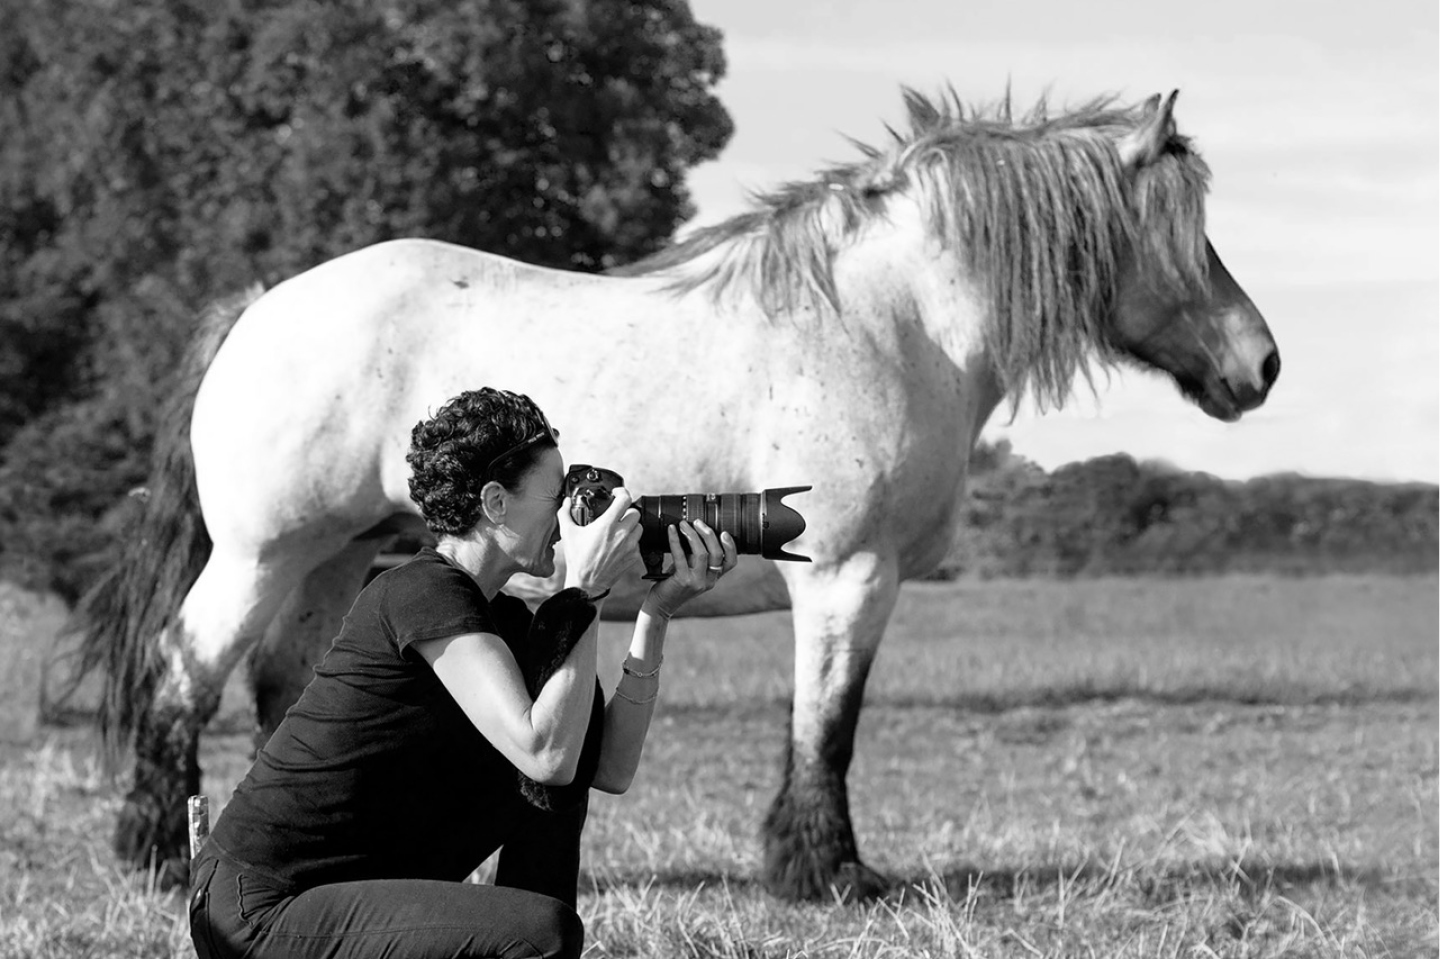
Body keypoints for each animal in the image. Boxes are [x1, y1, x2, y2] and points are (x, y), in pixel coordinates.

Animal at [77, 87, 1279, 900]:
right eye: (1182, 229)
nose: (1261, 364)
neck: (883, 322)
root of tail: (260, 302)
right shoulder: (849, 577)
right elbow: (827, 727)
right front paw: (828, 875)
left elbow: (819, 725)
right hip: (261, 555)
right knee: (181, 673)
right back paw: (152, 851)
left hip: (336, 556)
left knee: (286, 681)